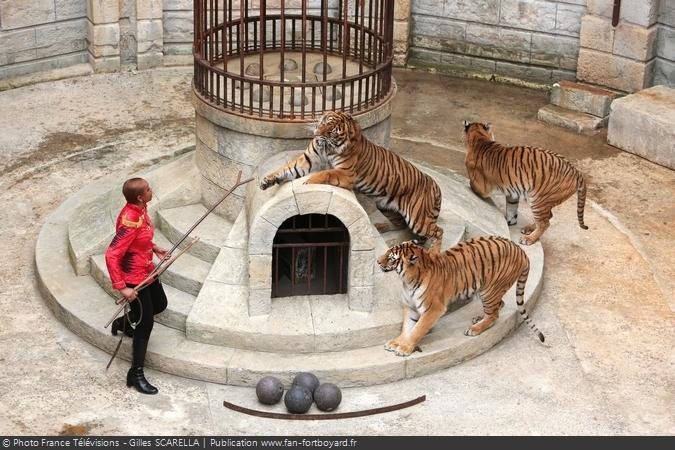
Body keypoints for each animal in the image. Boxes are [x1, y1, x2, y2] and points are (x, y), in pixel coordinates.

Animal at [258, 109, 444, 250]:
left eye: (331, 130)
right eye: (323, 122)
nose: (317, 134)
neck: (328, 147)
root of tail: (436, 186)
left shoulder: (345, 173)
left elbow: (326, 173)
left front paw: (309, 182)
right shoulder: (307, 161)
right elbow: (285, 169)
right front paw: (267, 181)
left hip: (418, 218)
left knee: (438, 231)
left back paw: (434, 252)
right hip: (386, 206)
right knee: (400, 224)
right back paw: (379, 227)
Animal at [378, 237, 548, 356]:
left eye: (391, 257)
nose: (378, 261)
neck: (407, 281)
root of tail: (521, 251)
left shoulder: (433, 309)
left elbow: (417, 329)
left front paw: (404, 348)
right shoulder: (410, 307)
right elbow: (407, 328)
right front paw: (396, 343)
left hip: (489, 290)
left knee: (494, 315)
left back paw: (475, 329)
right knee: (499, 305)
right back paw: (479, 318)